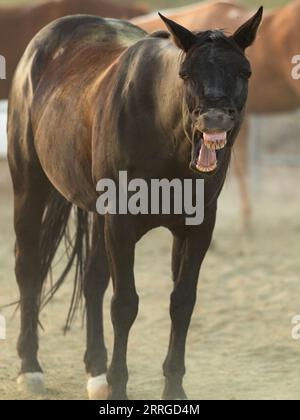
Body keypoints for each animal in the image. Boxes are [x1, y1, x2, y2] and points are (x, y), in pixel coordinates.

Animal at [7, 8, 262, 398]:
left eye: (243, 71)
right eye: (186, 73)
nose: (214, 121)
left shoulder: (197, 227)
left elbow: (182, 302)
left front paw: (172, 389)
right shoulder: (121, 224)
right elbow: (125, 304)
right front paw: (119, 387)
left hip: (97, 215)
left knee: (92, 281)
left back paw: (97, 373)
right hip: (29, 186)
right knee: (29, 269)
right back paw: (30, 368)